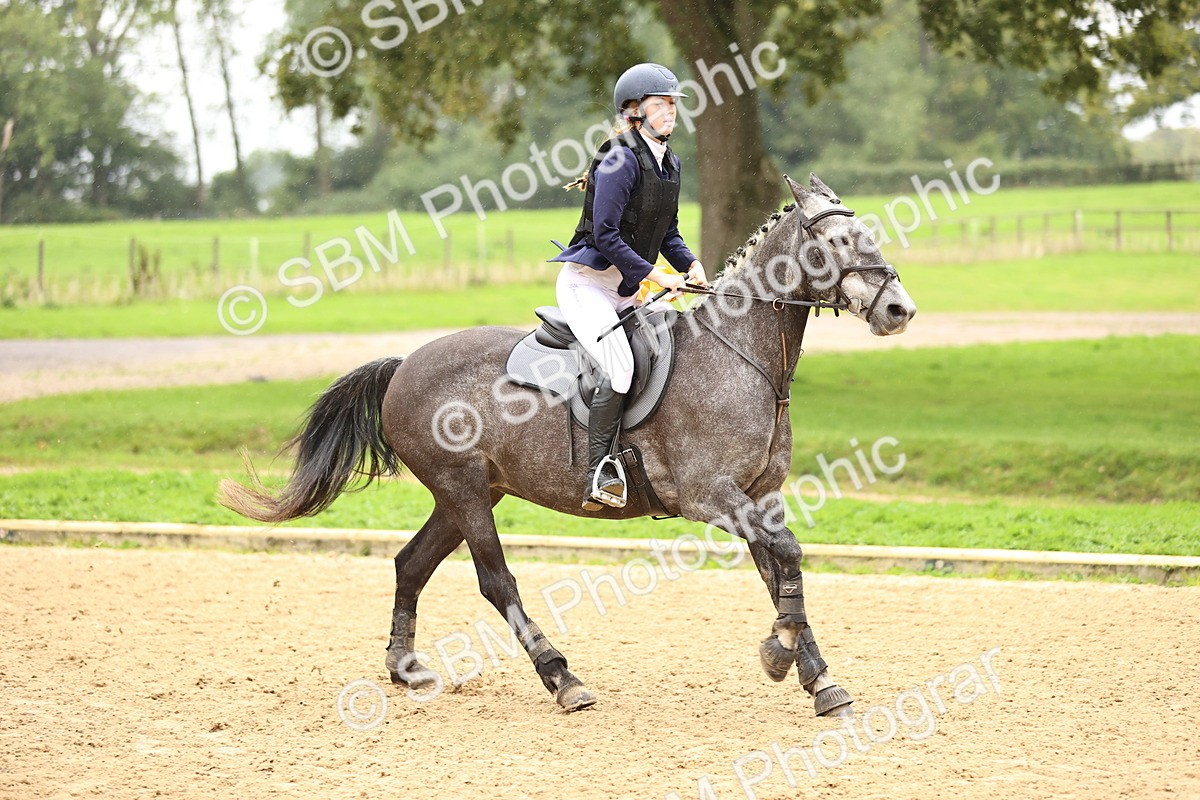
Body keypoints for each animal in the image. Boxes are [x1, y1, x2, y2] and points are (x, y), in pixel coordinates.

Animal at [219, 173, 917, 719]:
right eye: (839, 241)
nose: (900, 311)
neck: (740, 355)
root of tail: (403, 365)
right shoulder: (709, 496)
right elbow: (789, 556)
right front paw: (779, 655)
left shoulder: (758, 497)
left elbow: (781, 571)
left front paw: (818, 679)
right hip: (465, 492)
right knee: (496, 581)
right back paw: (562, 678)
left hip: (466, 493)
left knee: (411, 564)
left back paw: (405, 666)